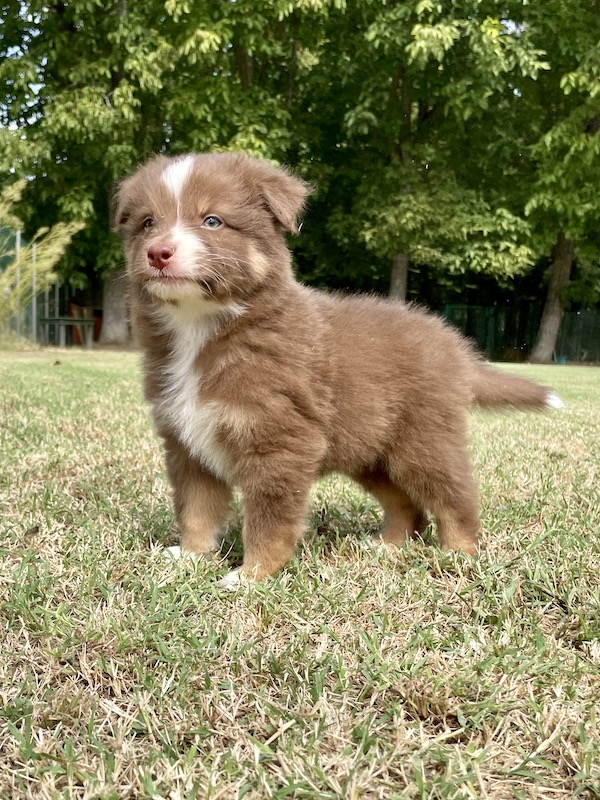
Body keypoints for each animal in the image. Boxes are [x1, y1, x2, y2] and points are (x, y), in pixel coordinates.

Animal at [116, 152, 564, 588]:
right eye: (148, 222)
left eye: (212, 220)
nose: (158, 252)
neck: (201, 327)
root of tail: (453, 345)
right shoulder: (187, 443)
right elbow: (196, 509)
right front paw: (191, 557)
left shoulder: (280, 442)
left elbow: (268, 520)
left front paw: (250, 576)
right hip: (373, 452)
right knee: (407, 503)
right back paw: (388, 546)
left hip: (423, 441)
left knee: (454, 496)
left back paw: (459, 553)